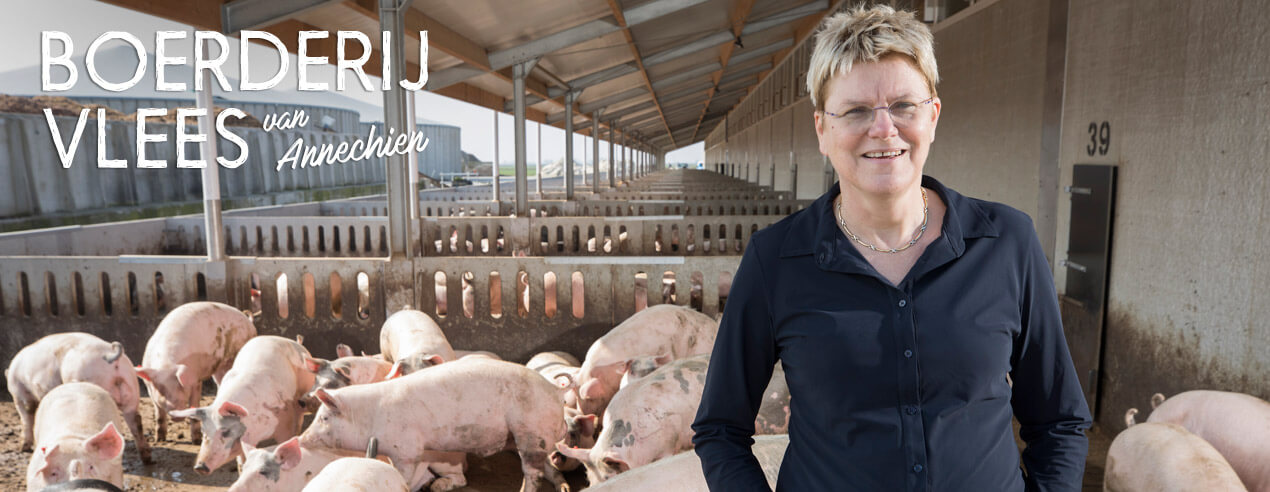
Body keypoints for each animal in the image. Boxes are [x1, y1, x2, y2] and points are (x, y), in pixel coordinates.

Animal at [6, 333, 149, 465]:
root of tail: (110, 354)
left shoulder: (19, 393)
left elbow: (26, 416)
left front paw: (23, 448)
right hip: (132, 388)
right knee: (136, 421)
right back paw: (146, 458)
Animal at [135, 300, 256, 442]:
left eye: (181, 386)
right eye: (160, 389)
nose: (175, 415)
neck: (165, 365)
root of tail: (248, 321)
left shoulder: (196, 380)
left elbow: (194, 403)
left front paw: (196, 440)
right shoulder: (150, 389)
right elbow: (159, 413)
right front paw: (159, 439)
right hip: (219, 367)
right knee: (220, 382)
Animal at [168, 335, 314, 472]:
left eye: (225, 431)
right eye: (204, 431)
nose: (199, 467)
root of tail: (292, 341)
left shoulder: (286, 421)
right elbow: (242, 462)